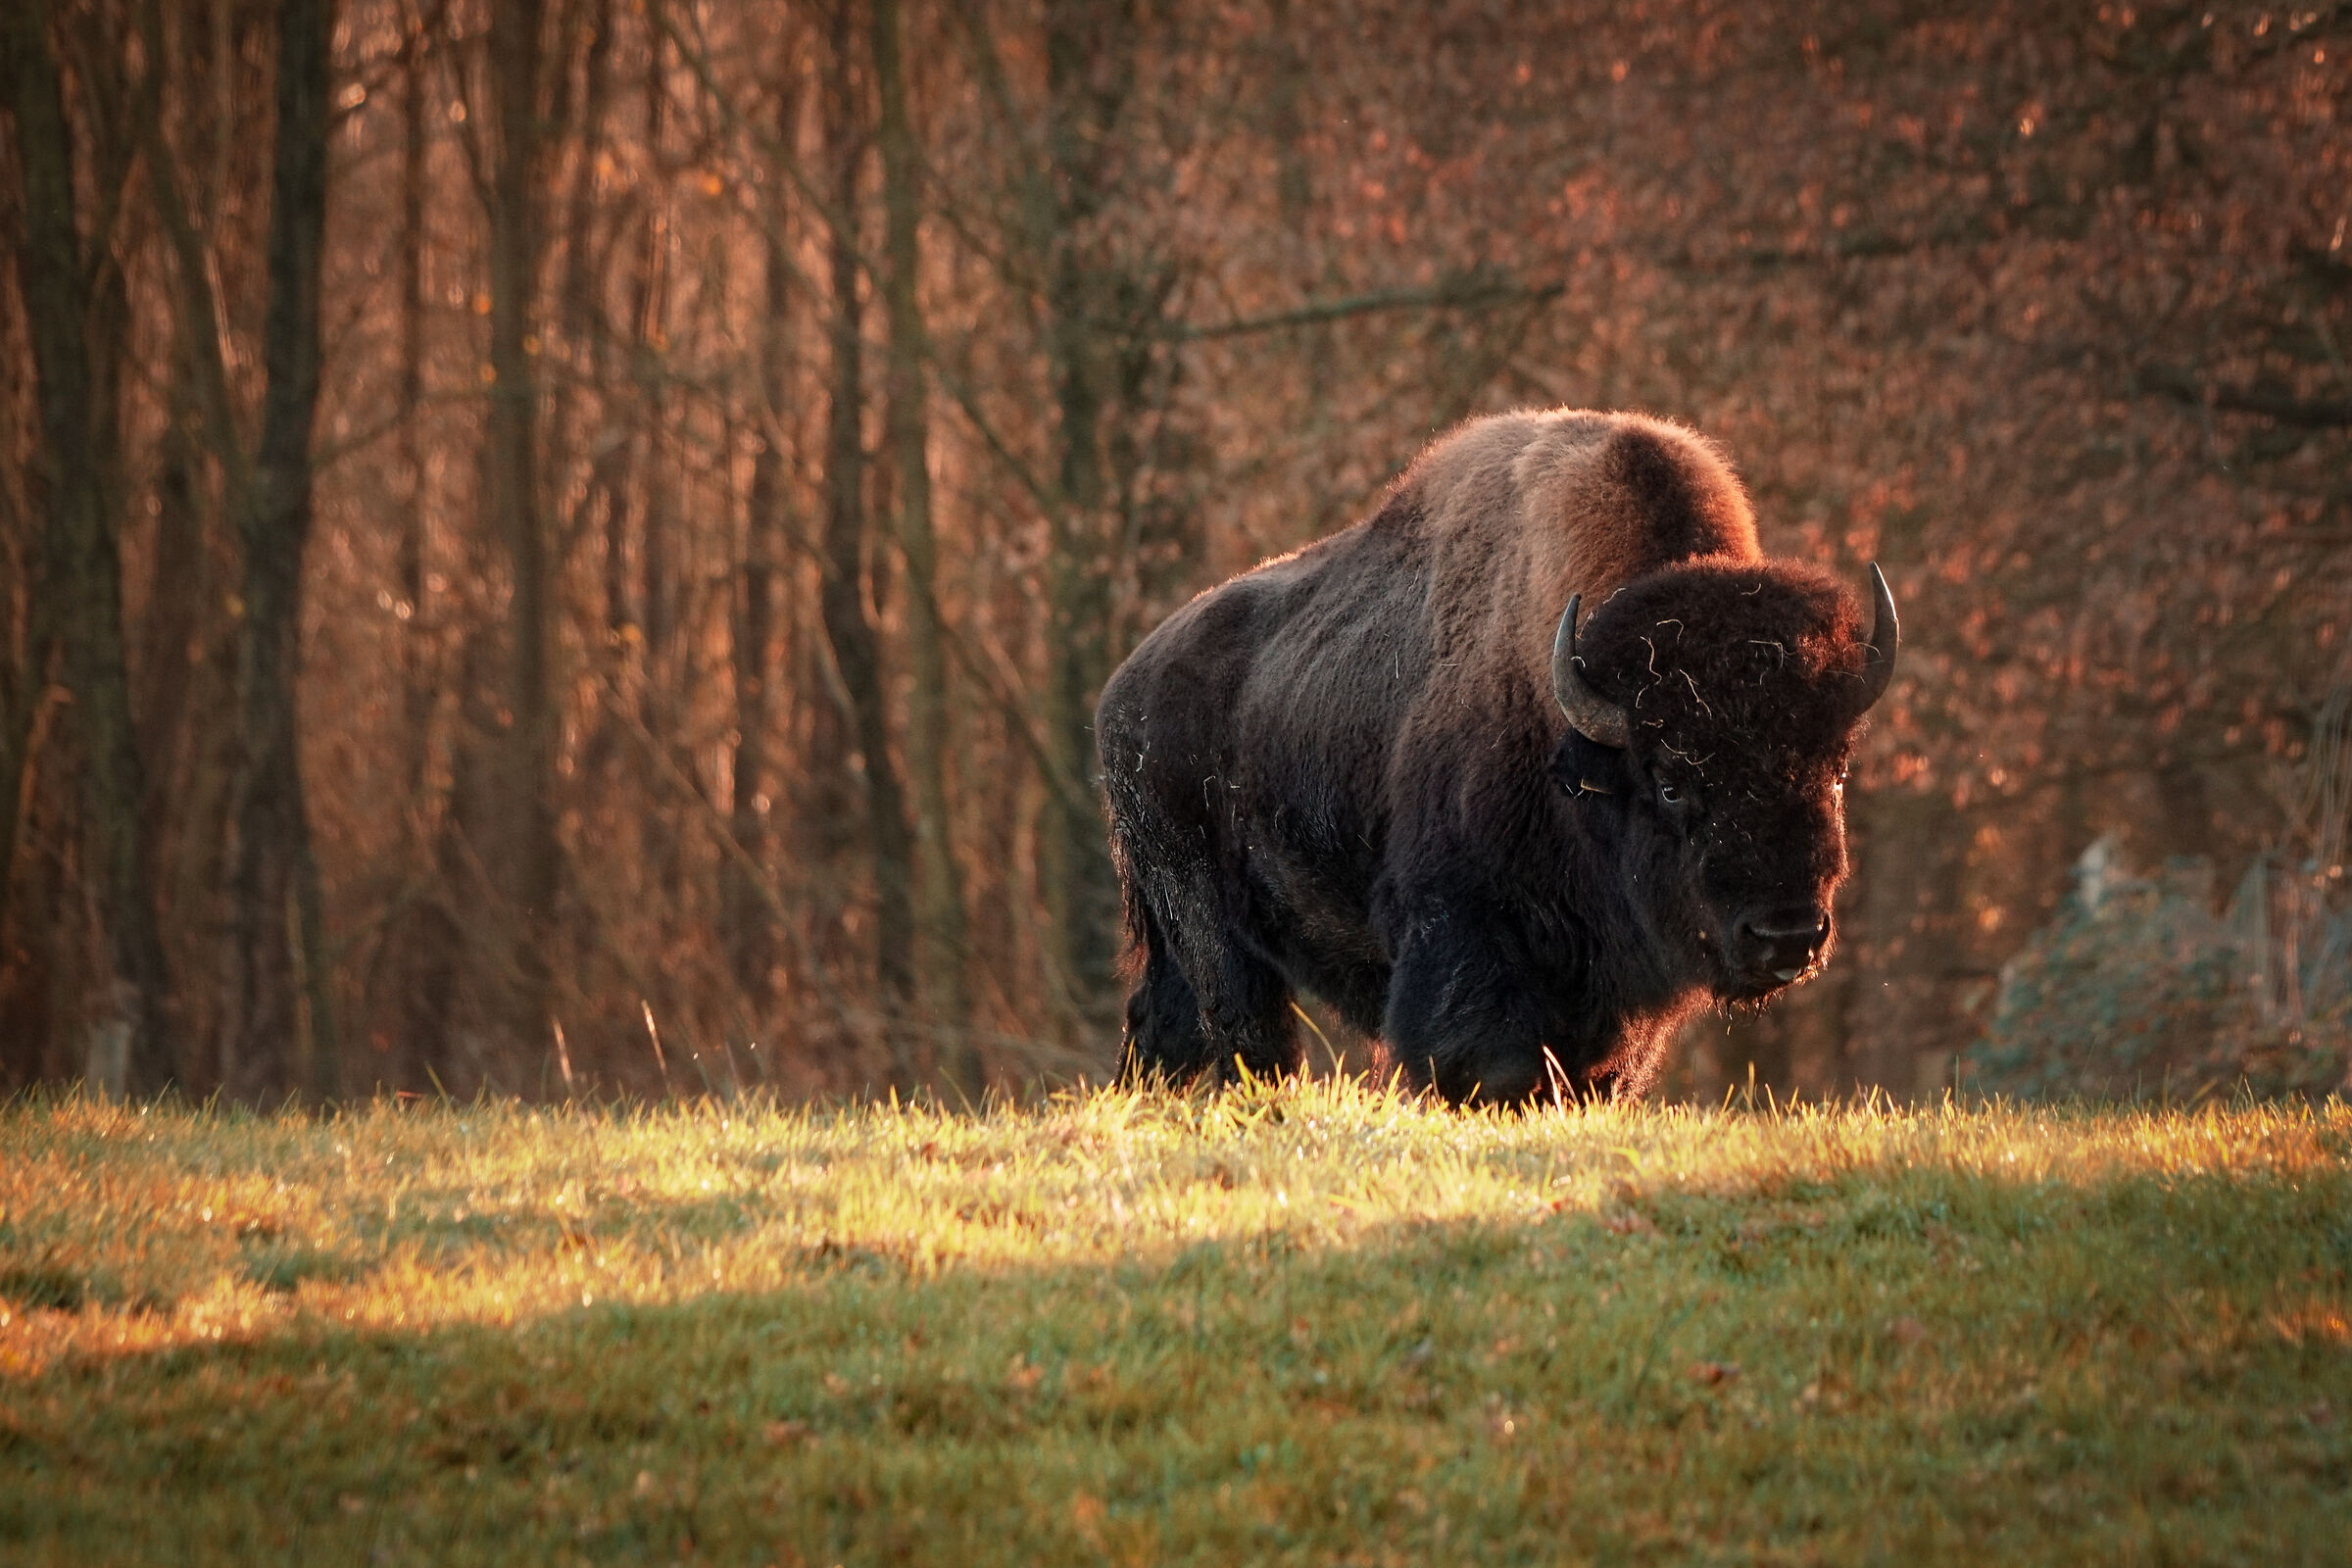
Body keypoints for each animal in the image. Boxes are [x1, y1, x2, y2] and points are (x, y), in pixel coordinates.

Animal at [1095, 408, 1897, 1104]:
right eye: (1669, 782)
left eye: (1834, 771)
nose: (1786, 932)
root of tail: (1121, 694)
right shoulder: (1465, 928)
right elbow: (1488, 1062)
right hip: (1210, 924)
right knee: (1248, 1037)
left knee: (1167, 1026)